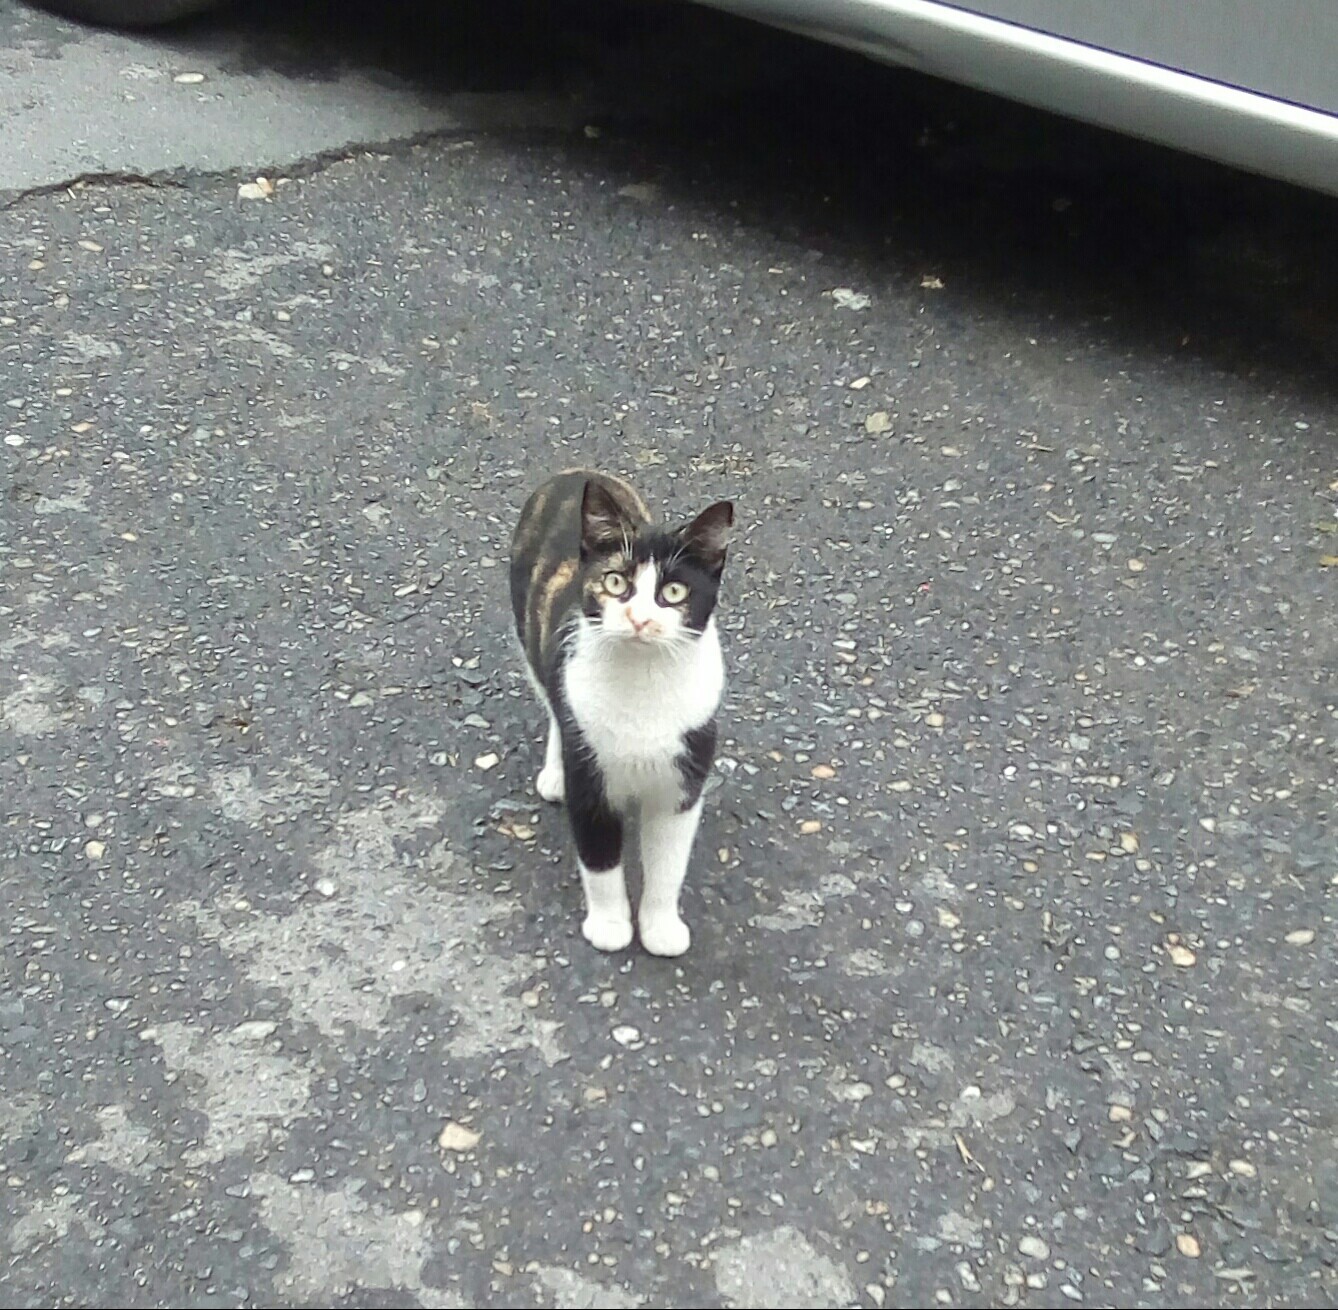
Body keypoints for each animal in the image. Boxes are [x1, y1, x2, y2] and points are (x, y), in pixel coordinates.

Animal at [505, 465, 733, 958]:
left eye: (673, 591)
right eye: (615, 582)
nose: (639, 619)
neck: (642, 680)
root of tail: (576, 471)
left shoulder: (684, 777)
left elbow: (668, 863)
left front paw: (661, 927)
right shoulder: (590, 780)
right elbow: (599, 858)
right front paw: (611, 926)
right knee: (554, 702)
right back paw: (554, 773)